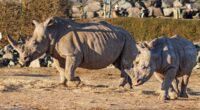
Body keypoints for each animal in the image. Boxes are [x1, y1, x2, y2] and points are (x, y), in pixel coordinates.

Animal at [7, 16, 138, 88]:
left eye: (34, 43)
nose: (22, 60)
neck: (51, 32)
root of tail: (130, 33)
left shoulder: (73, 54)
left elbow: (69, 71)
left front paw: (78, 81)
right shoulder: (57, 54)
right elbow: (61, 69)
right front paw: (62, 84)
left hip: (128, 39)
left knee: (124, 63)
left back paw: (119, 86)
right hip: (121, 39)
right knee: (119, 63)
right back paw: (129, 86)